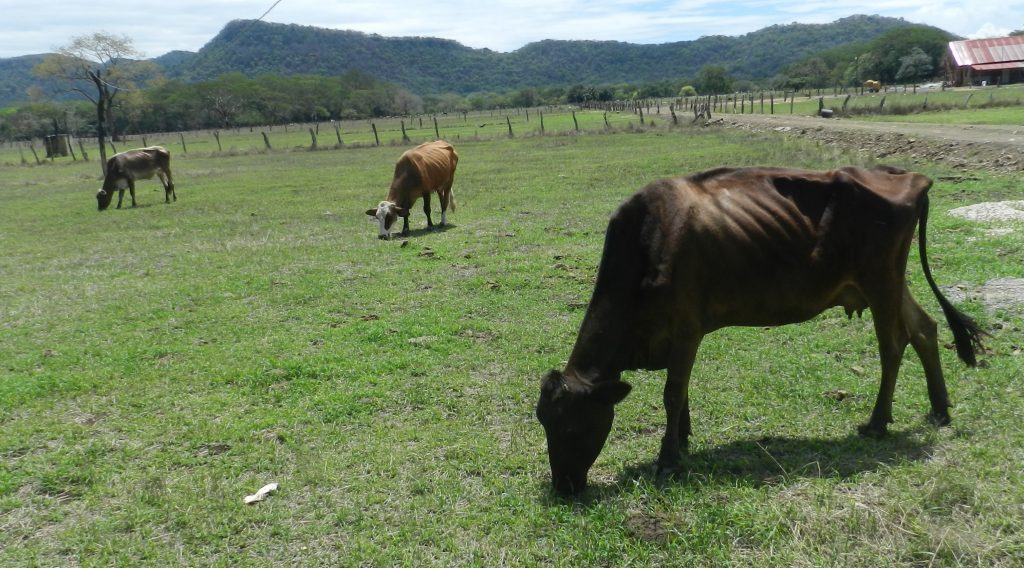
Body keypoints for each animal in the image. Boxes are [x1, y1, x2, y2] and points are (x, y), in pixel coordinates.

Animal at [536, 164, 983, 493]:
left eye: (572, 425)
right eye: (544, 422)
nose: (563, 487)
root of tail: (911, 177)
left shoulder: (686, 327)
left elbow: (672, 393)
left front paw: (668, 459)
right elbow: (683, 391)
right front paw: (683, 438)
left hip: (880, 279)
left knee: (893, 345)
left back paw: (876, 423)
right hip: (887, 281)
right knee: (924, 328)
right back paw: (939, 408)